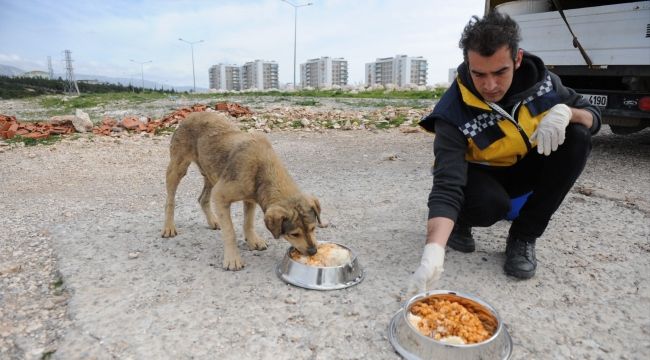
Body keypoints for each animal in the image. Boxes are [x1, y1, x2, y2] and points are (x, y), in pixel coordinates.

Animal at [161, 112, 320, 270]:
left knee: (202, 199)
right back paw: (169, 227)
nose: (313, 251)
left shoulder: (250, 199)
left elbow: (248, 223)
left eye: (313, 228)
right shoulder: (220, 195)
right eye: (294, 234)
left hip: (212, 173)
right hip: (178, 168)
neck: (263, 169)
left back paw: (213, 221)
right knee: (170, 200)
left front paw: (253, 240)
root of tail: (192, 114)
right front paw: (232, 259)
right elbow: (230, 232)